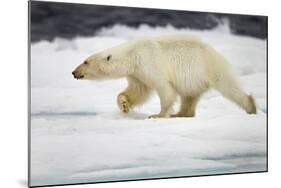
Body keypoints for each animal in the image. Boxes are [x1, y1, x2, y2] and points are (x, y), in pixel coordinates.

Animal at [71, 35, 255, 117]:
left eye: (85, 61)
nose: (74, 72)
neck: (132, 54)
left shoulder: (149, 62)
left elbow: (164, 88)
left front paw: (158, 114)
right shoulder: (137, 72)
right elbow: (138, 91)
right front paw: (124, 105)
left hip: (210, 67)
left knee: (229, 87)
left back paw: (251, 106)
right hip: (194, 79)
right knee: (189, 96)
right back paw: (181, 114)